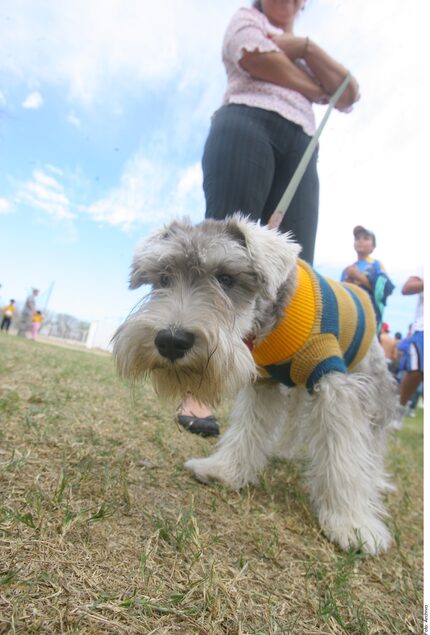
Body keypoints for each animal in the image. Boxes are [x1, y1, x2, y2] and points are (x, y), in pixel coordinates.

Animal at [114, 216, 400, 556]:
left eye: (226, 278)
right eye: (164, 278)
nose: (171, 340)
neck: (269, 323)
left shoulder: (334, 386)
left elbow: (344, 455)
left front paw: (352, 524)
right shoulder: (263, 384)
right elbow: (248, 430)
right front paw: (224, 470)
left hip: (373, 389)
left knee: (373, 444)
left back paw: (377, 479)